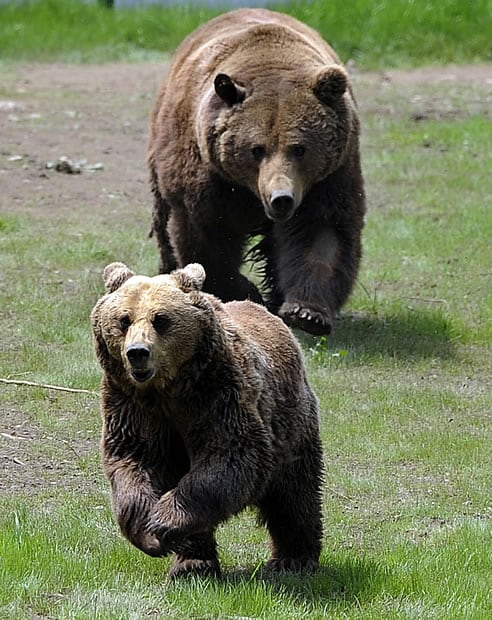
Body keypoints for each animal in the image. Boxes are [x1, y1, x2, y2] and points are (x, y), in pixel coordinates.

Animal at [91, 260, 324, 576]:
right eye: (124, 320)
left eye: (161, 319)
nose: (137, 353)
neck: (168, 389)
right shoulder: (132, 404)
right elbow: (134, 458)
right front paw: (149, 532)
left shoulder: (218, 395)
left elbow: (230, 454)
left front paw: (163, 521)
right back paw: (193, 563)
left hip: (290, 423)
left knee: (294, 493)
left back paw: (293, 558)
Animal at [148, 7, 368, 336]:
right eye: (257, 149)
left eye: (299, 148)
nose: (282, 198)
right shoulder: (207, 175)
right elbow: (208, 236)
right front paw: (244, 290)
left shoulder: (330, 176)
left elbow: (321, 232)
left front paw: (306, 312)